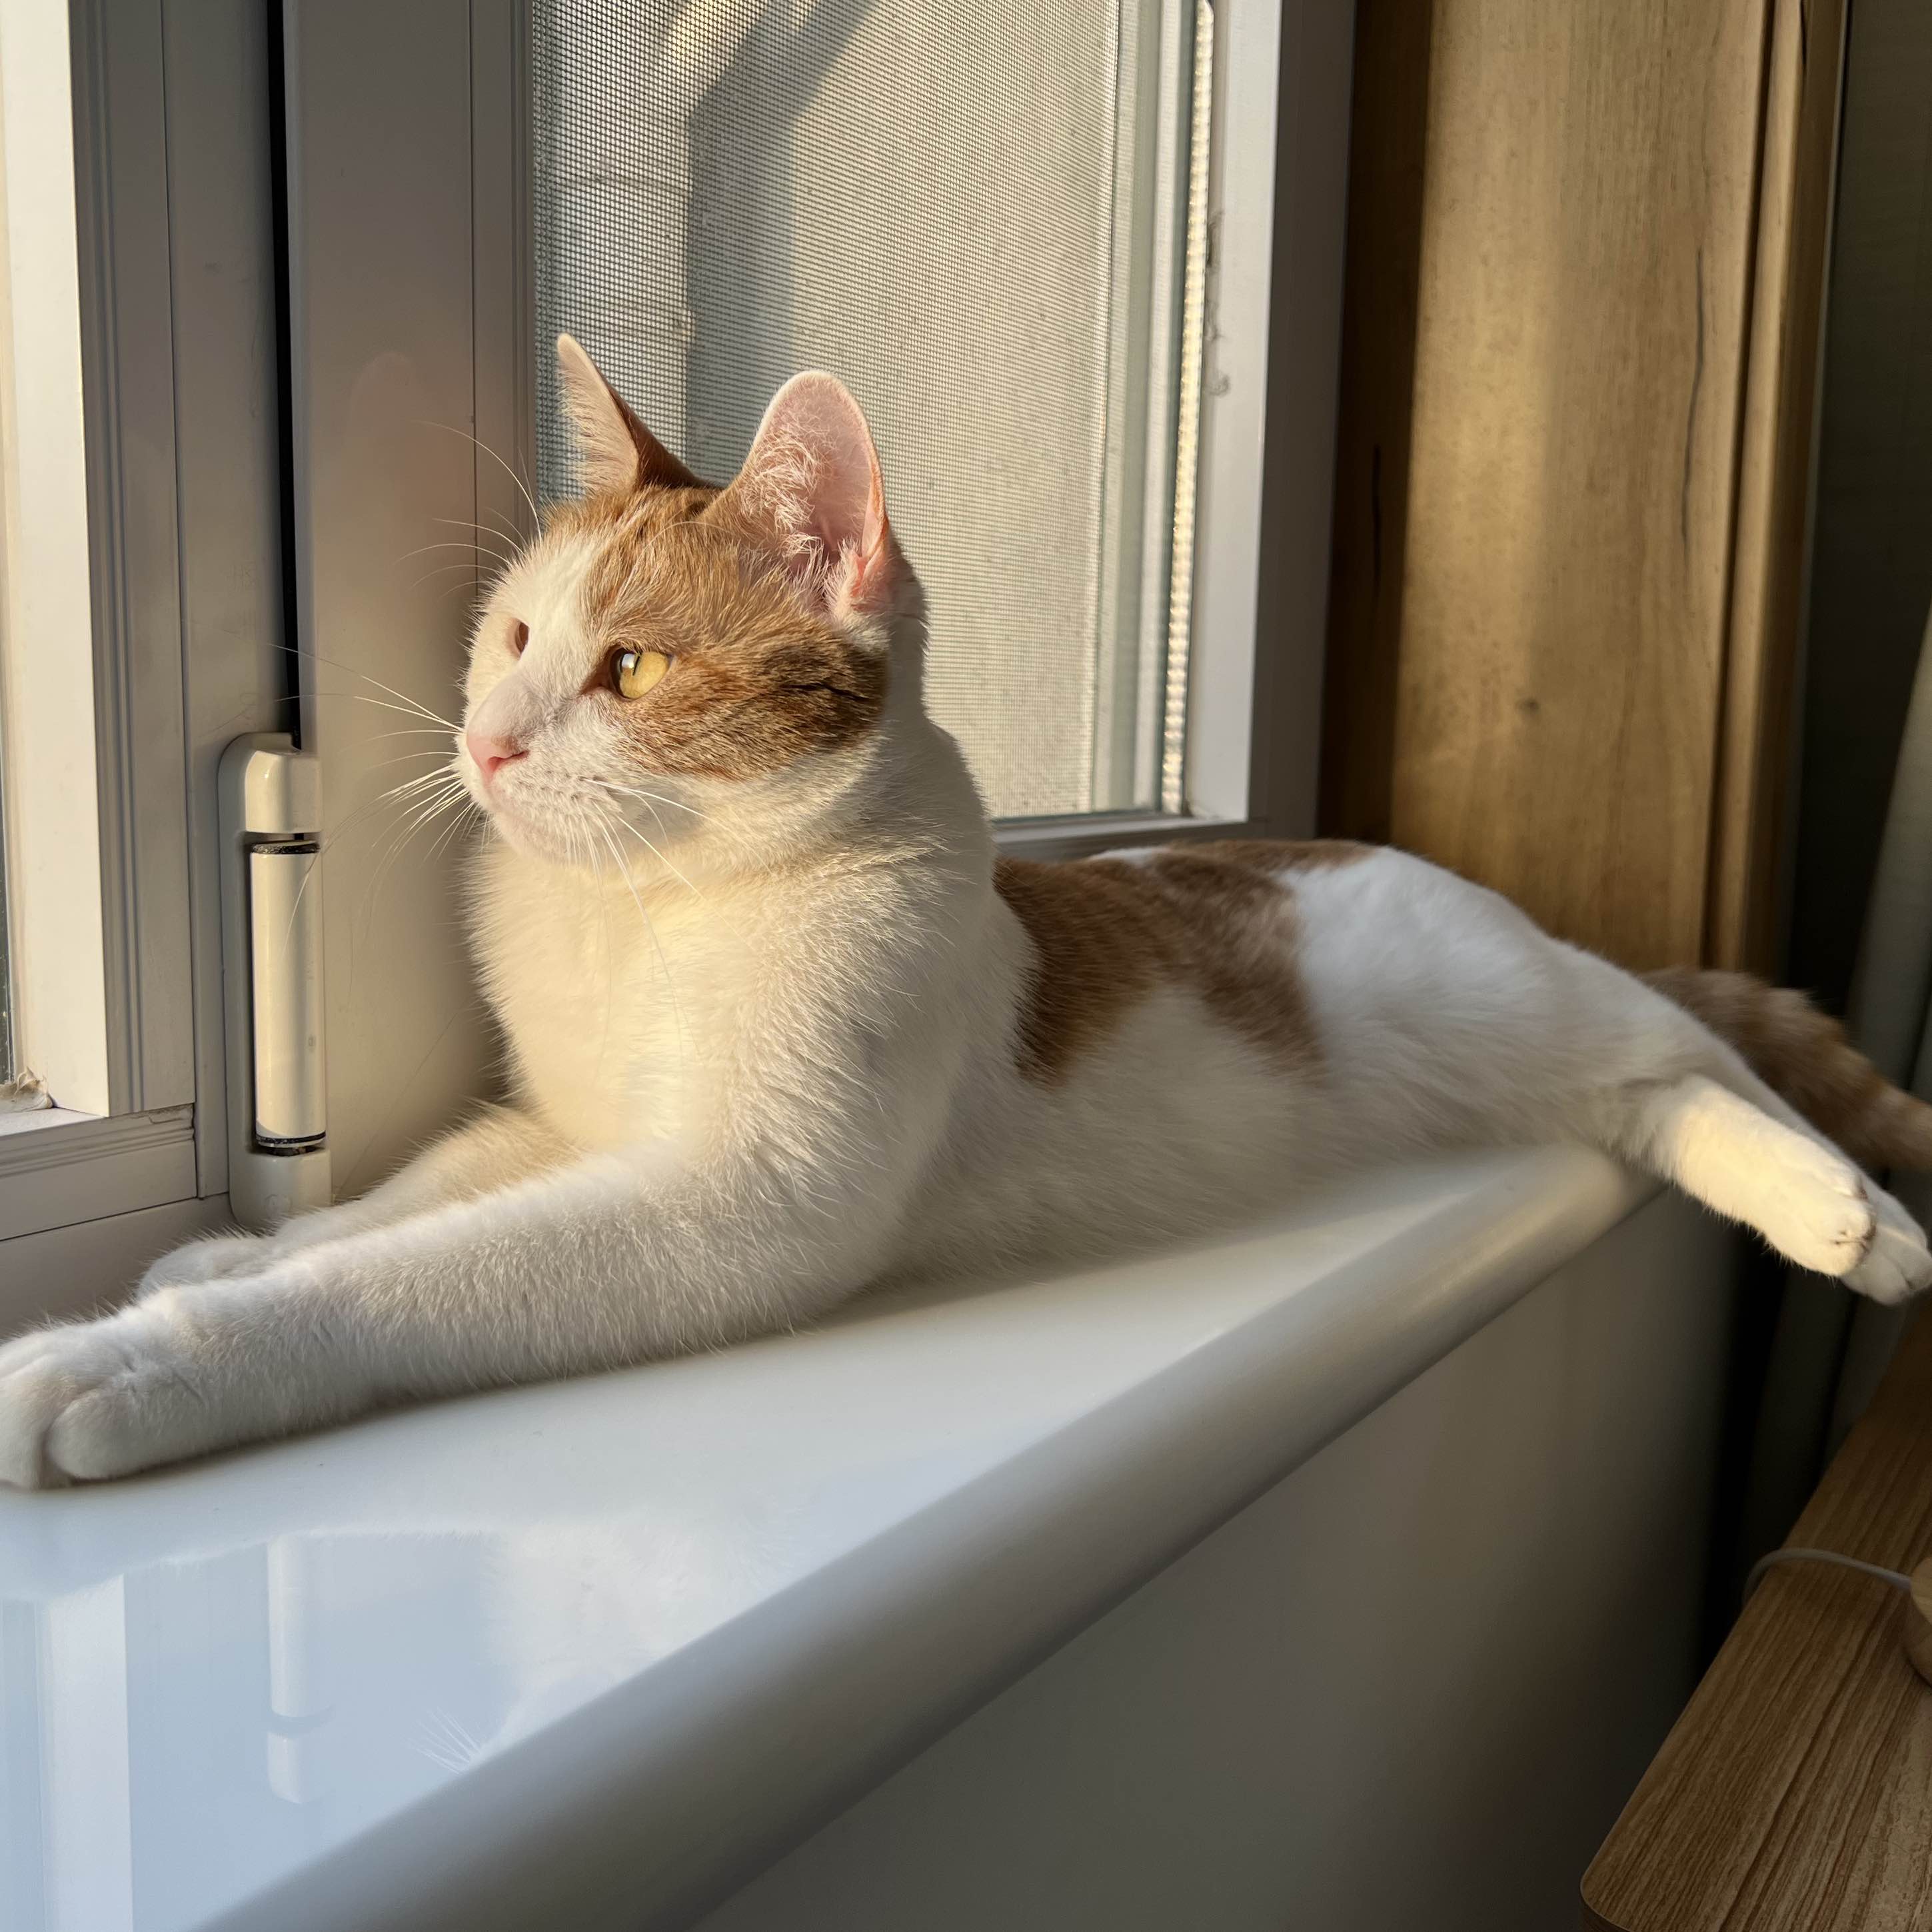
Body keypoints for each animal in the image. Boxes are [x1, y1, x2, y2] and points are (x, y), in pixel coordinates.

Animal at [3, 334, 1928, 1489]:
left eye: (630, 671)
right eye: (515, 636)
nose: (484, 738)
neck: (651, 913)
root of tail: (1375, 857)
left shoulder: (734, 1204)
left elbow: (414, 1278)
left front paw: (128, 1357)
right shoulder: (562, 1119)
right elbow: (406, 1201)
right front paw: (236, 1247)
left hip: (1535, 996)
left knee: (1701, 1052)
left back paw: (1858, 1214)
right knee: (1656, 1092)